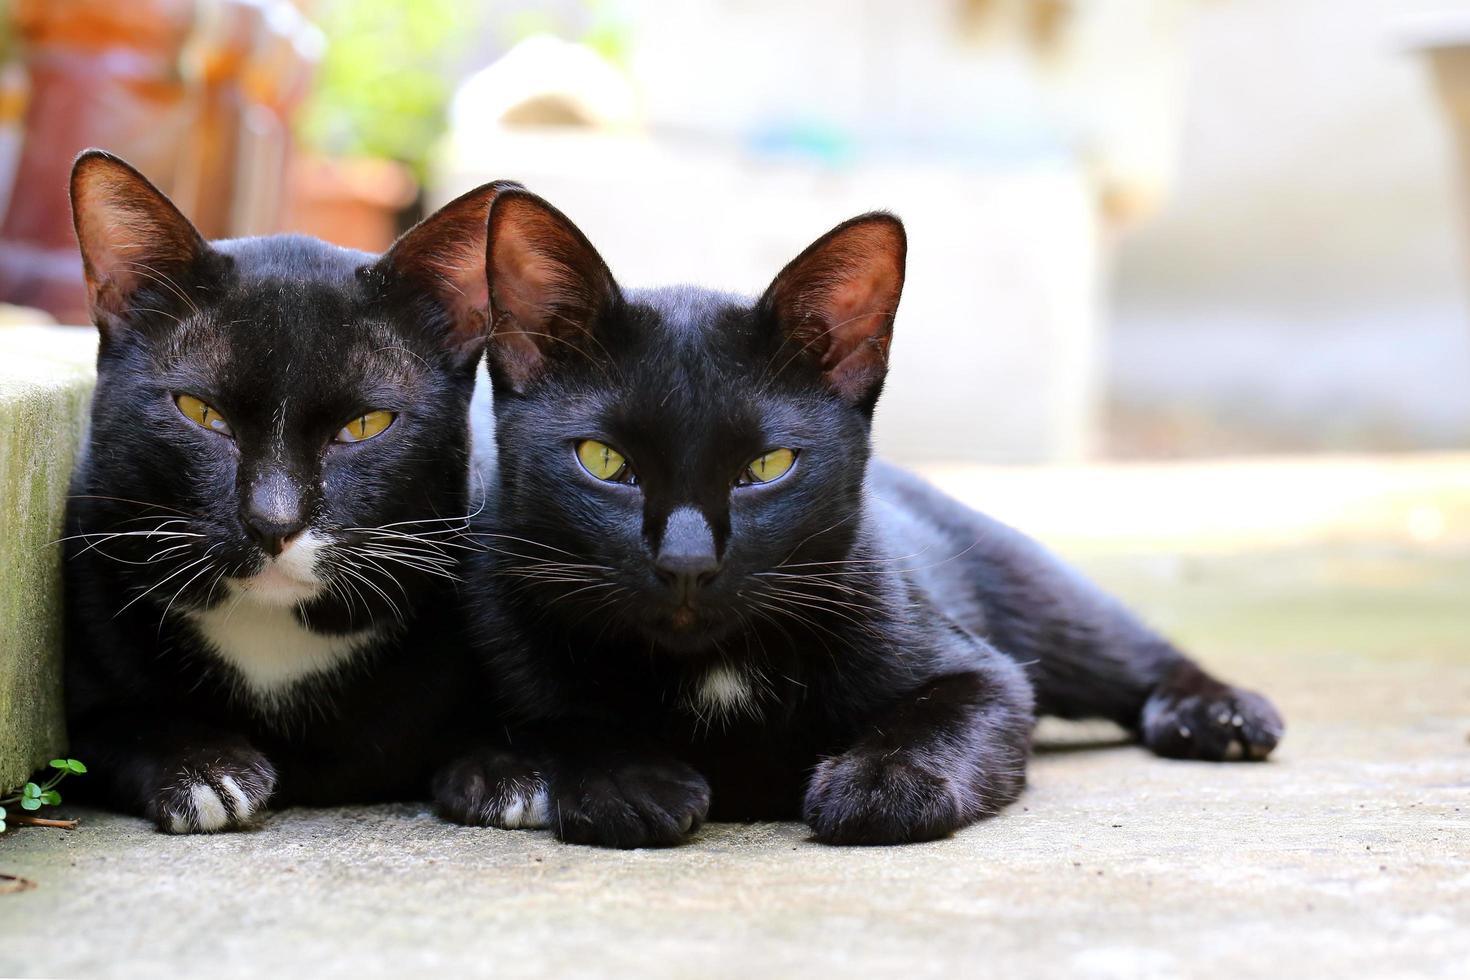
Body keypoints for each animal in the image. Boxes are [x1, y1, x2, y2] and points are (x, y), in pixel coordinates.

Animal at [63, 149, 517, 834]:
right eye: (200, 412)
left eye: (365, 425)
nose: (273, 522)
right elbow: (109, 727)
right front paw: (202, 770)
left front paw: (507, 768)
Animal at [441, 191, 1281, 852]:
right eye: (604, 460)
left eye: (769, 467)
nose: (686, 562)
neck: (711, 670)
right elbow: (562, 717)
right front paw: (626, 779)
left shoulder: (982, 671)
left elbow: (950, 712)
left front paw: (882, 781)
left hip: (1027, 588)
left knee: (1123, 649)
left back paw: (1218, 713)